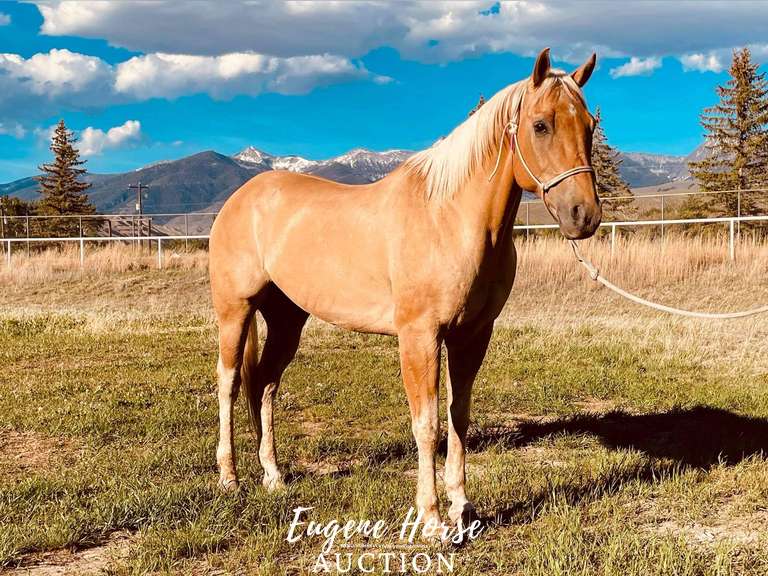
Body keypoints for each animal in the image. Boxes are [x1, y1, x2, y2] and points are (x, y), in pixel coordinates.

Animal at [209, 47, 601, 534]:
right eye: (541, 124)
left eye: (590, 126)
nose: (583, 215)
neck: (449, 219)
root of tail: (241, 197)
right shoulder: (420, 336)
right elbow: (427, 424)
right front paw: (431, 518)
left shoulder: (472, 335)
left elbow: (458, 417)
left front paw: (462, 506)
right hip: (235, 312)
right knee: (228, 384)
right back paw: (229, 478)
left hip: (287, 320)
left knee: (264, 384)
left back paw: (273, 475)